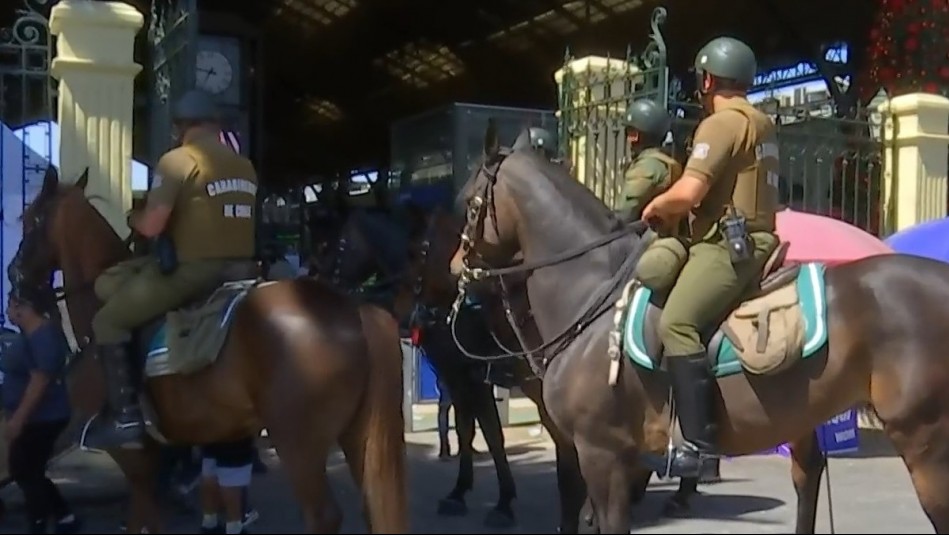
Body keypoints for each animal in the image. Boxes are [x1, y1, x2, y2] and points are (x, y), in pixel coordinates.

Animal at [10, 170, 408, 532]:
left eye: (31, 221)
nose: (15, 278)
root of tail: (354, 309)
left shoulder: (132, 456)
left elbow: (144, 519)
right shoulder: (152, 456)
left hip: (299, 444)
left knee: (322, 516)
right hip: (359, 438)